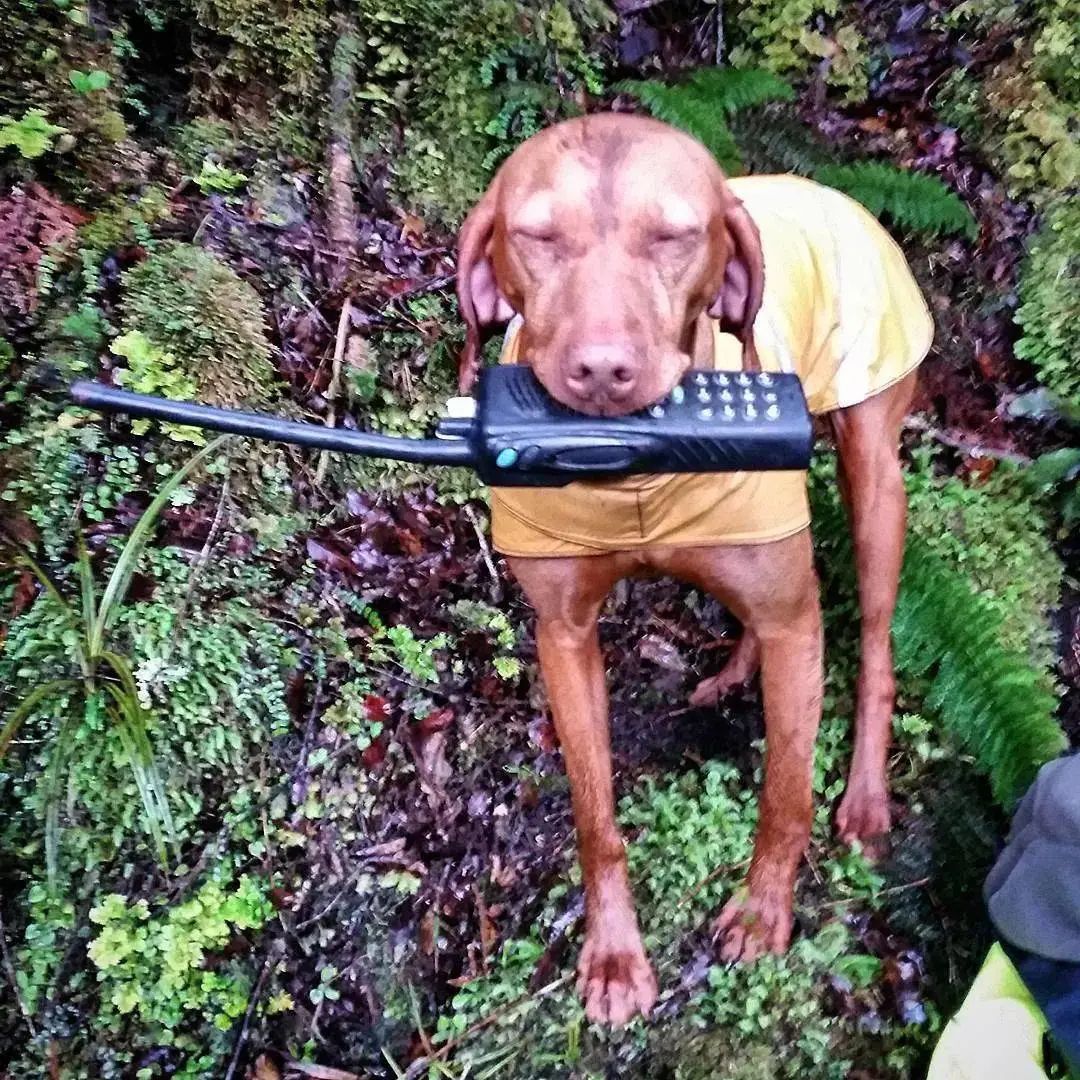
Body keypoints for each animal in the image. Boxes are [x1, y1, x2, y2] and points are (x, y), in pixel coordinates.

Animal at [455, 113, 928, 1023]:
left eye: (674, 236)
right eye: (536, 236)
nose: (603, 370)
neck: (631, 464)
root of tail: (835, 193)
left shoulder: (795, 622)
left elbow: (784, 793)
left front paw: (763, 913)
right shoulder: (564, 637)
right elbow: (595, 815)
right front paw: (612, 956)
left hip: (875, 474)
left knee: (877, 640)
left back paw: (864, 796)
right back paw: (737, 669)